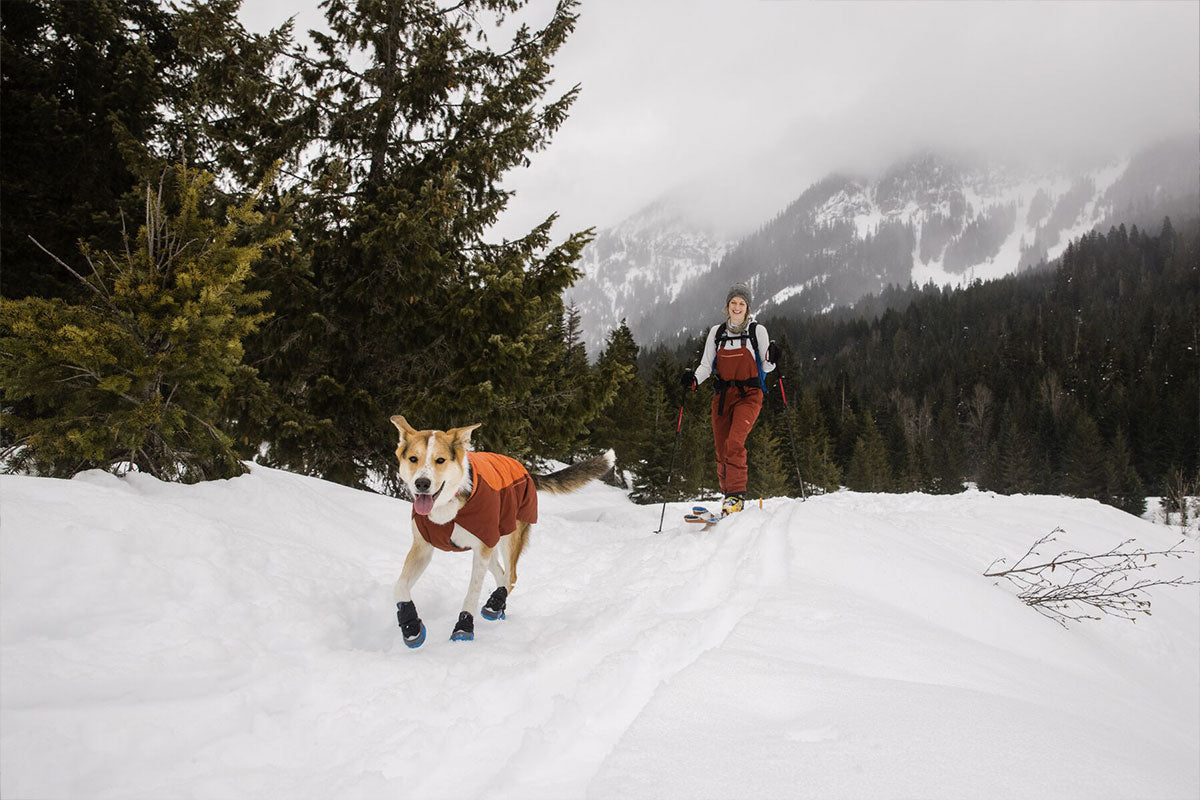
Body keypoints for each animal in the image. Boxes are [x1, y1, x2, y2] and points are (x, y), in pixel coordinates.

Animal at [391, 417, 614, 647]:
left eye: (440, 460)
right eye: (413, 458)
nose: (422, 483)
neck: (448, 505)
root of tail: (523, 469)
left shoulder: (482, 549)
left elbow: (472, 593)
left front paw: (464, 628)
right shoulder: (423, 548)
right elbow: (399, 587)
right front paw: (410, 624)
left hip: (508, 538)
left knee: (511, 577)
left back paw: (495, 605)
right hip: (489, 547)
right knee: (502, 576)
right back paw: (498, 605)